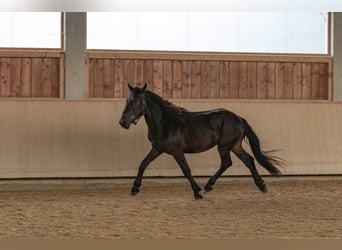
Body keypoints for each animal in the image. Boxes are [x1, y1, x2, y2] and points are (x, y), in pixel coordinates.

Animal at [119, 83, 284, 199]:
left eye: (136, 102)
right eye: (127, 100)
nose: (122, 122)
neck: (165, 122)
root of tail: (239, 118)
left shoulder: (176, 151)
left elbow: (186, 170)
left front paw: (197, 192)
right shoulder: (158, 149)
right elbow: (143, 164)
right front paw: (134, 189)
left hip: (224, 146)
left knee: (227, 162)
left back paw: (208, 186)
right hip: (235, 146)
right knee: (248, 160)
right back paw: (261, 186)